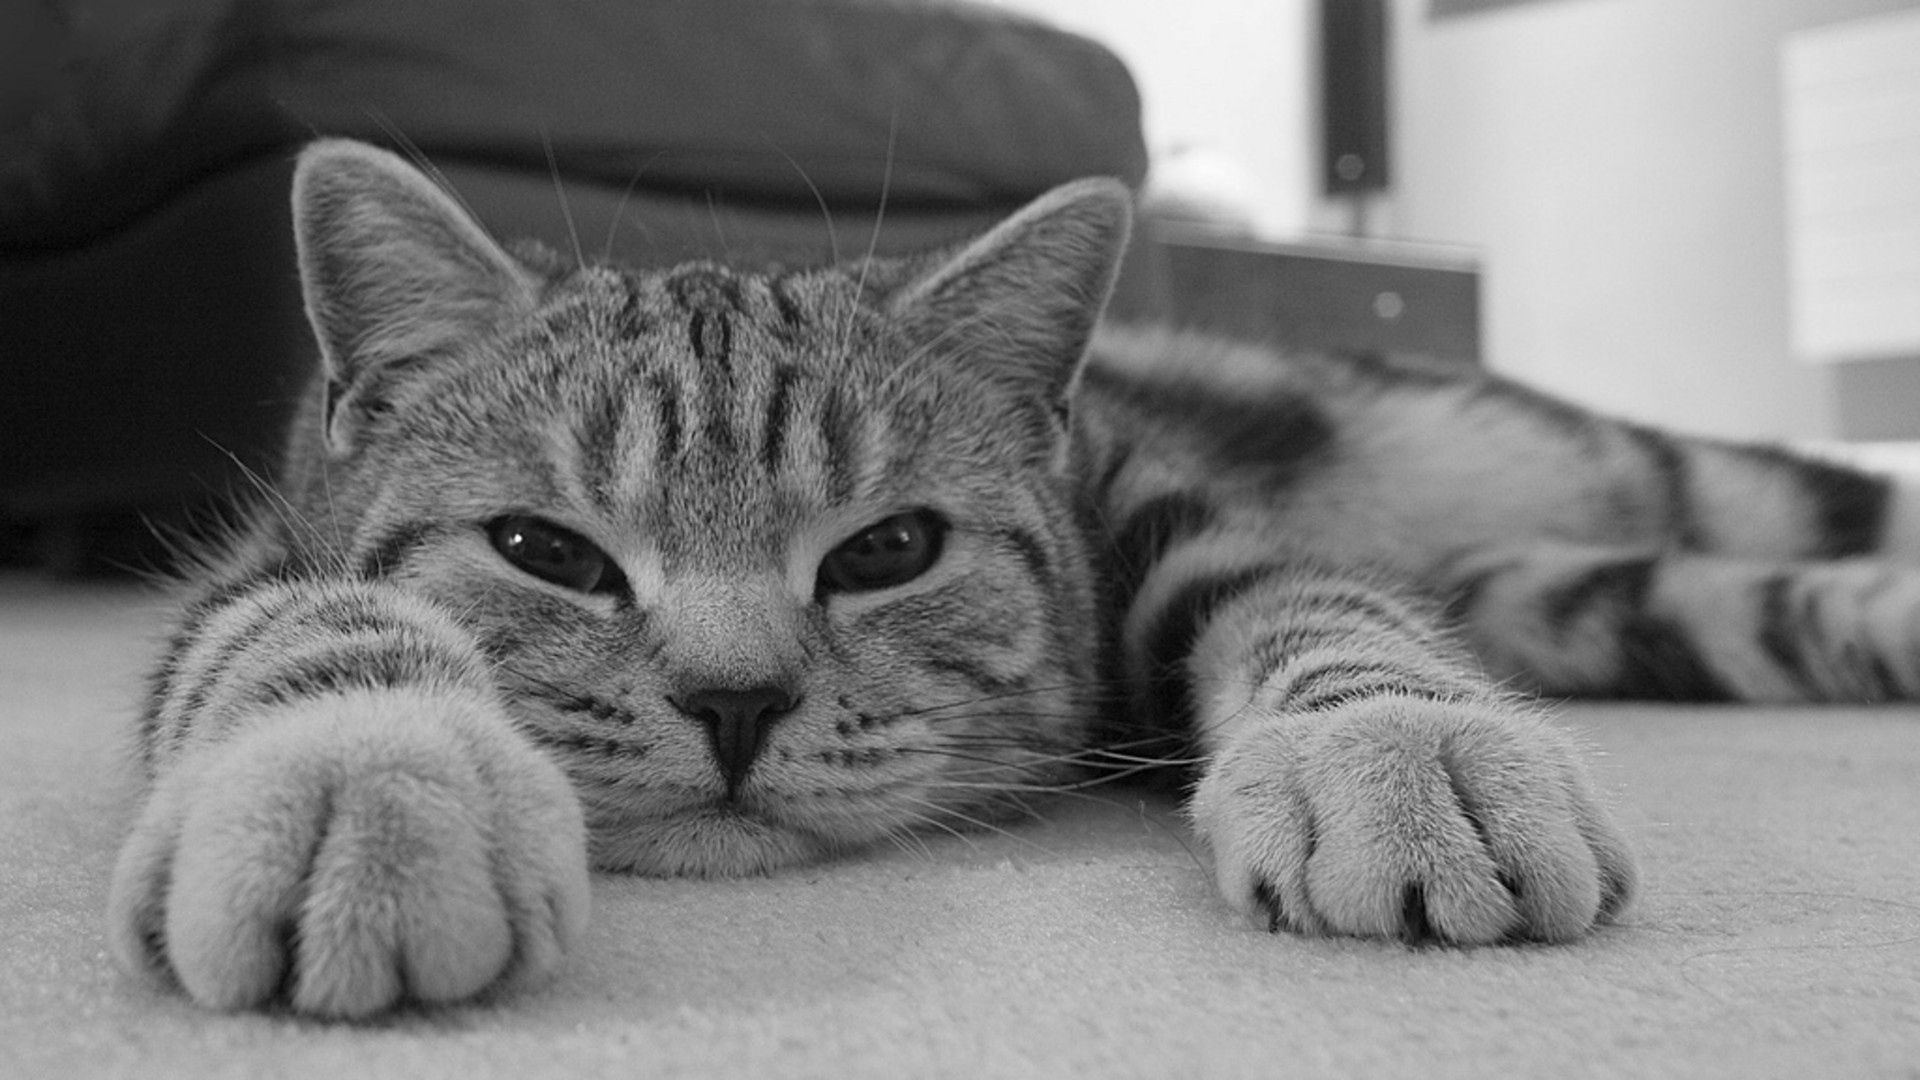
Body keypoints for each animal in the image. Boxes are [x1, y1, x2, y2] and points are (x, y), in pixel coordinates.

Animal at [105, 138, 1920, 1014]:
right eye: (545, 551)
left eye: (889, 549)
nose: (734, 701)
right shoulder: (258, 563)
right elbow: (312, 624)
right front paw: (368, 784)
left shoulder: (1162, 516)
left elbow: (1309, 603)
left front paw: (1404, 746)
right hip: (1579, 587)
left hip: (1578, 465)